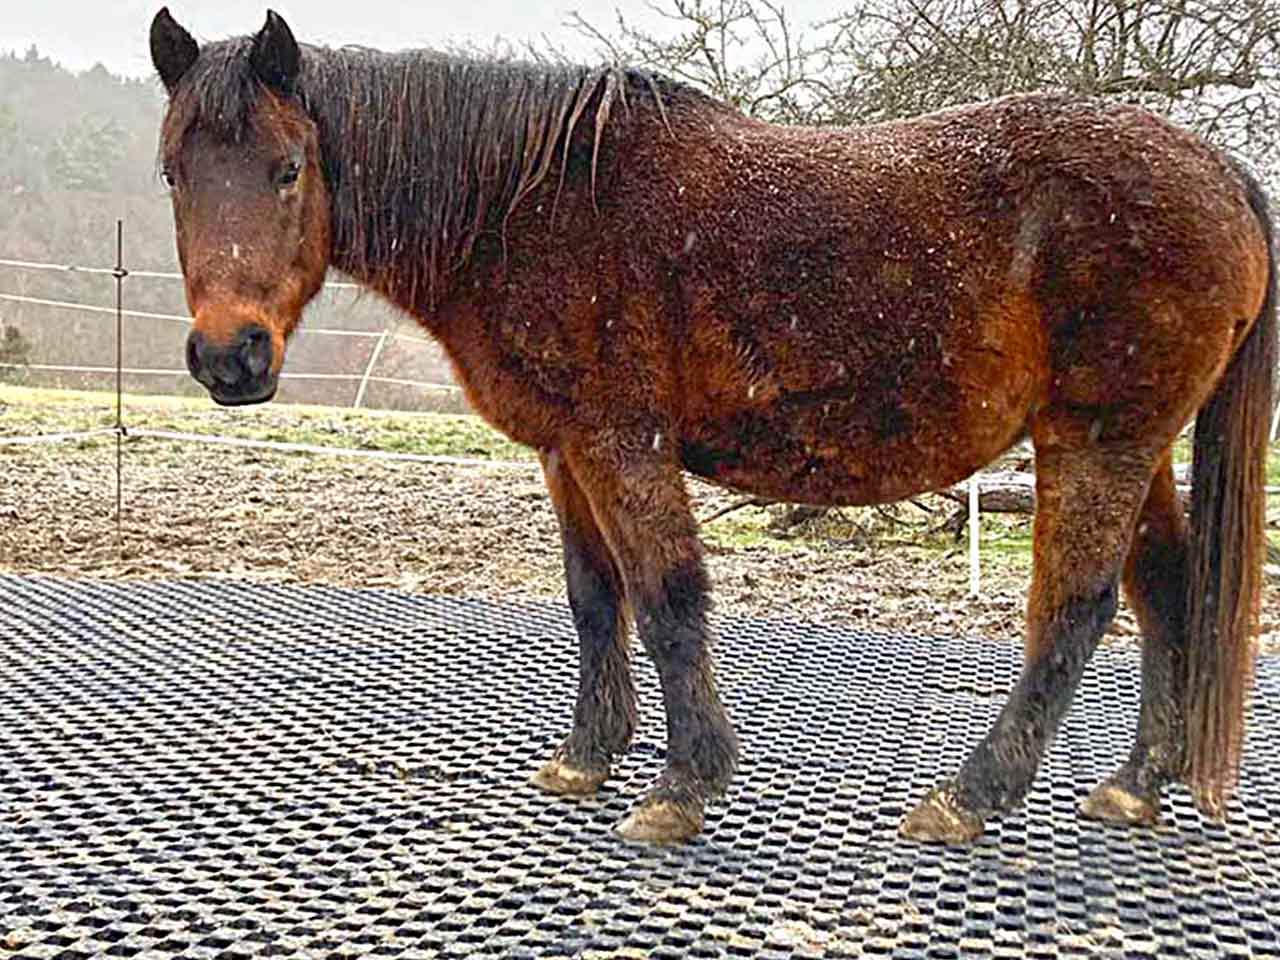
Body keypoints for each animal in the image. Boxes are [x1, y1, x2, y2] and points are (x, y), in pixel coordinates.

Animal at [149, 8, 1275, 846]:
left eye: (288, 168)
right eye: (172, 173)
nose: (230, 357)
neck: (525, 201)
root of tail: (1217, 171)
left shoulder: (624, 443)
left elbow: (667, 599)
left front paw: (683, 785)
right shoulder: (567, 452)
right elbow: (593, 599)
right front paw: (587, 757)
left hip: (1097, 440)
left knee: (1076, 611)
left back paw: (971, 794)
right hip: (1136, 447)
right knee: (1165, 591)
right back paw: (1135, 783)